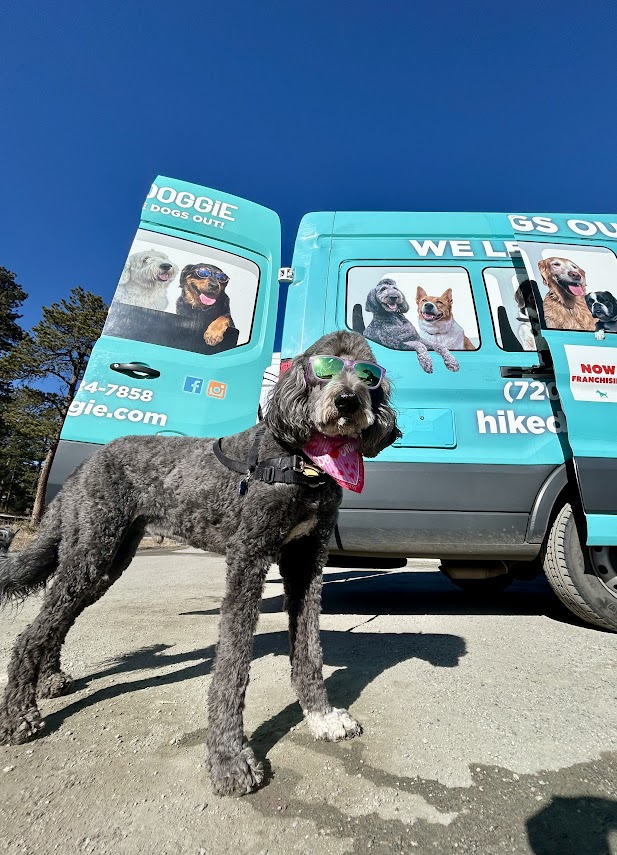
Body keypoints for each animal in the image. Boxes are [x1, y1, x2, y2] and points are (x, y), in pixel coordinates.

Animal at [0, 332, 398, 796]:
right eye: (325, 370)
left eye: (368, 376)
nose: (348, 401)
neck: (302, 460)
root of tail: (86, 465)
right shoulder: (248, 558)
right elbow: (232, 666)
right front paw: (229, 761)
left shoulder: (306, 563)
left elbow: (309, 650)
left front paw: (322, 717)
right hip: (92, 550)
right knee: (33, 631)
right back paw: (18, 714)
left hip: (107, 559)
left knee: (55, 619)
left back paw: (48, 679)